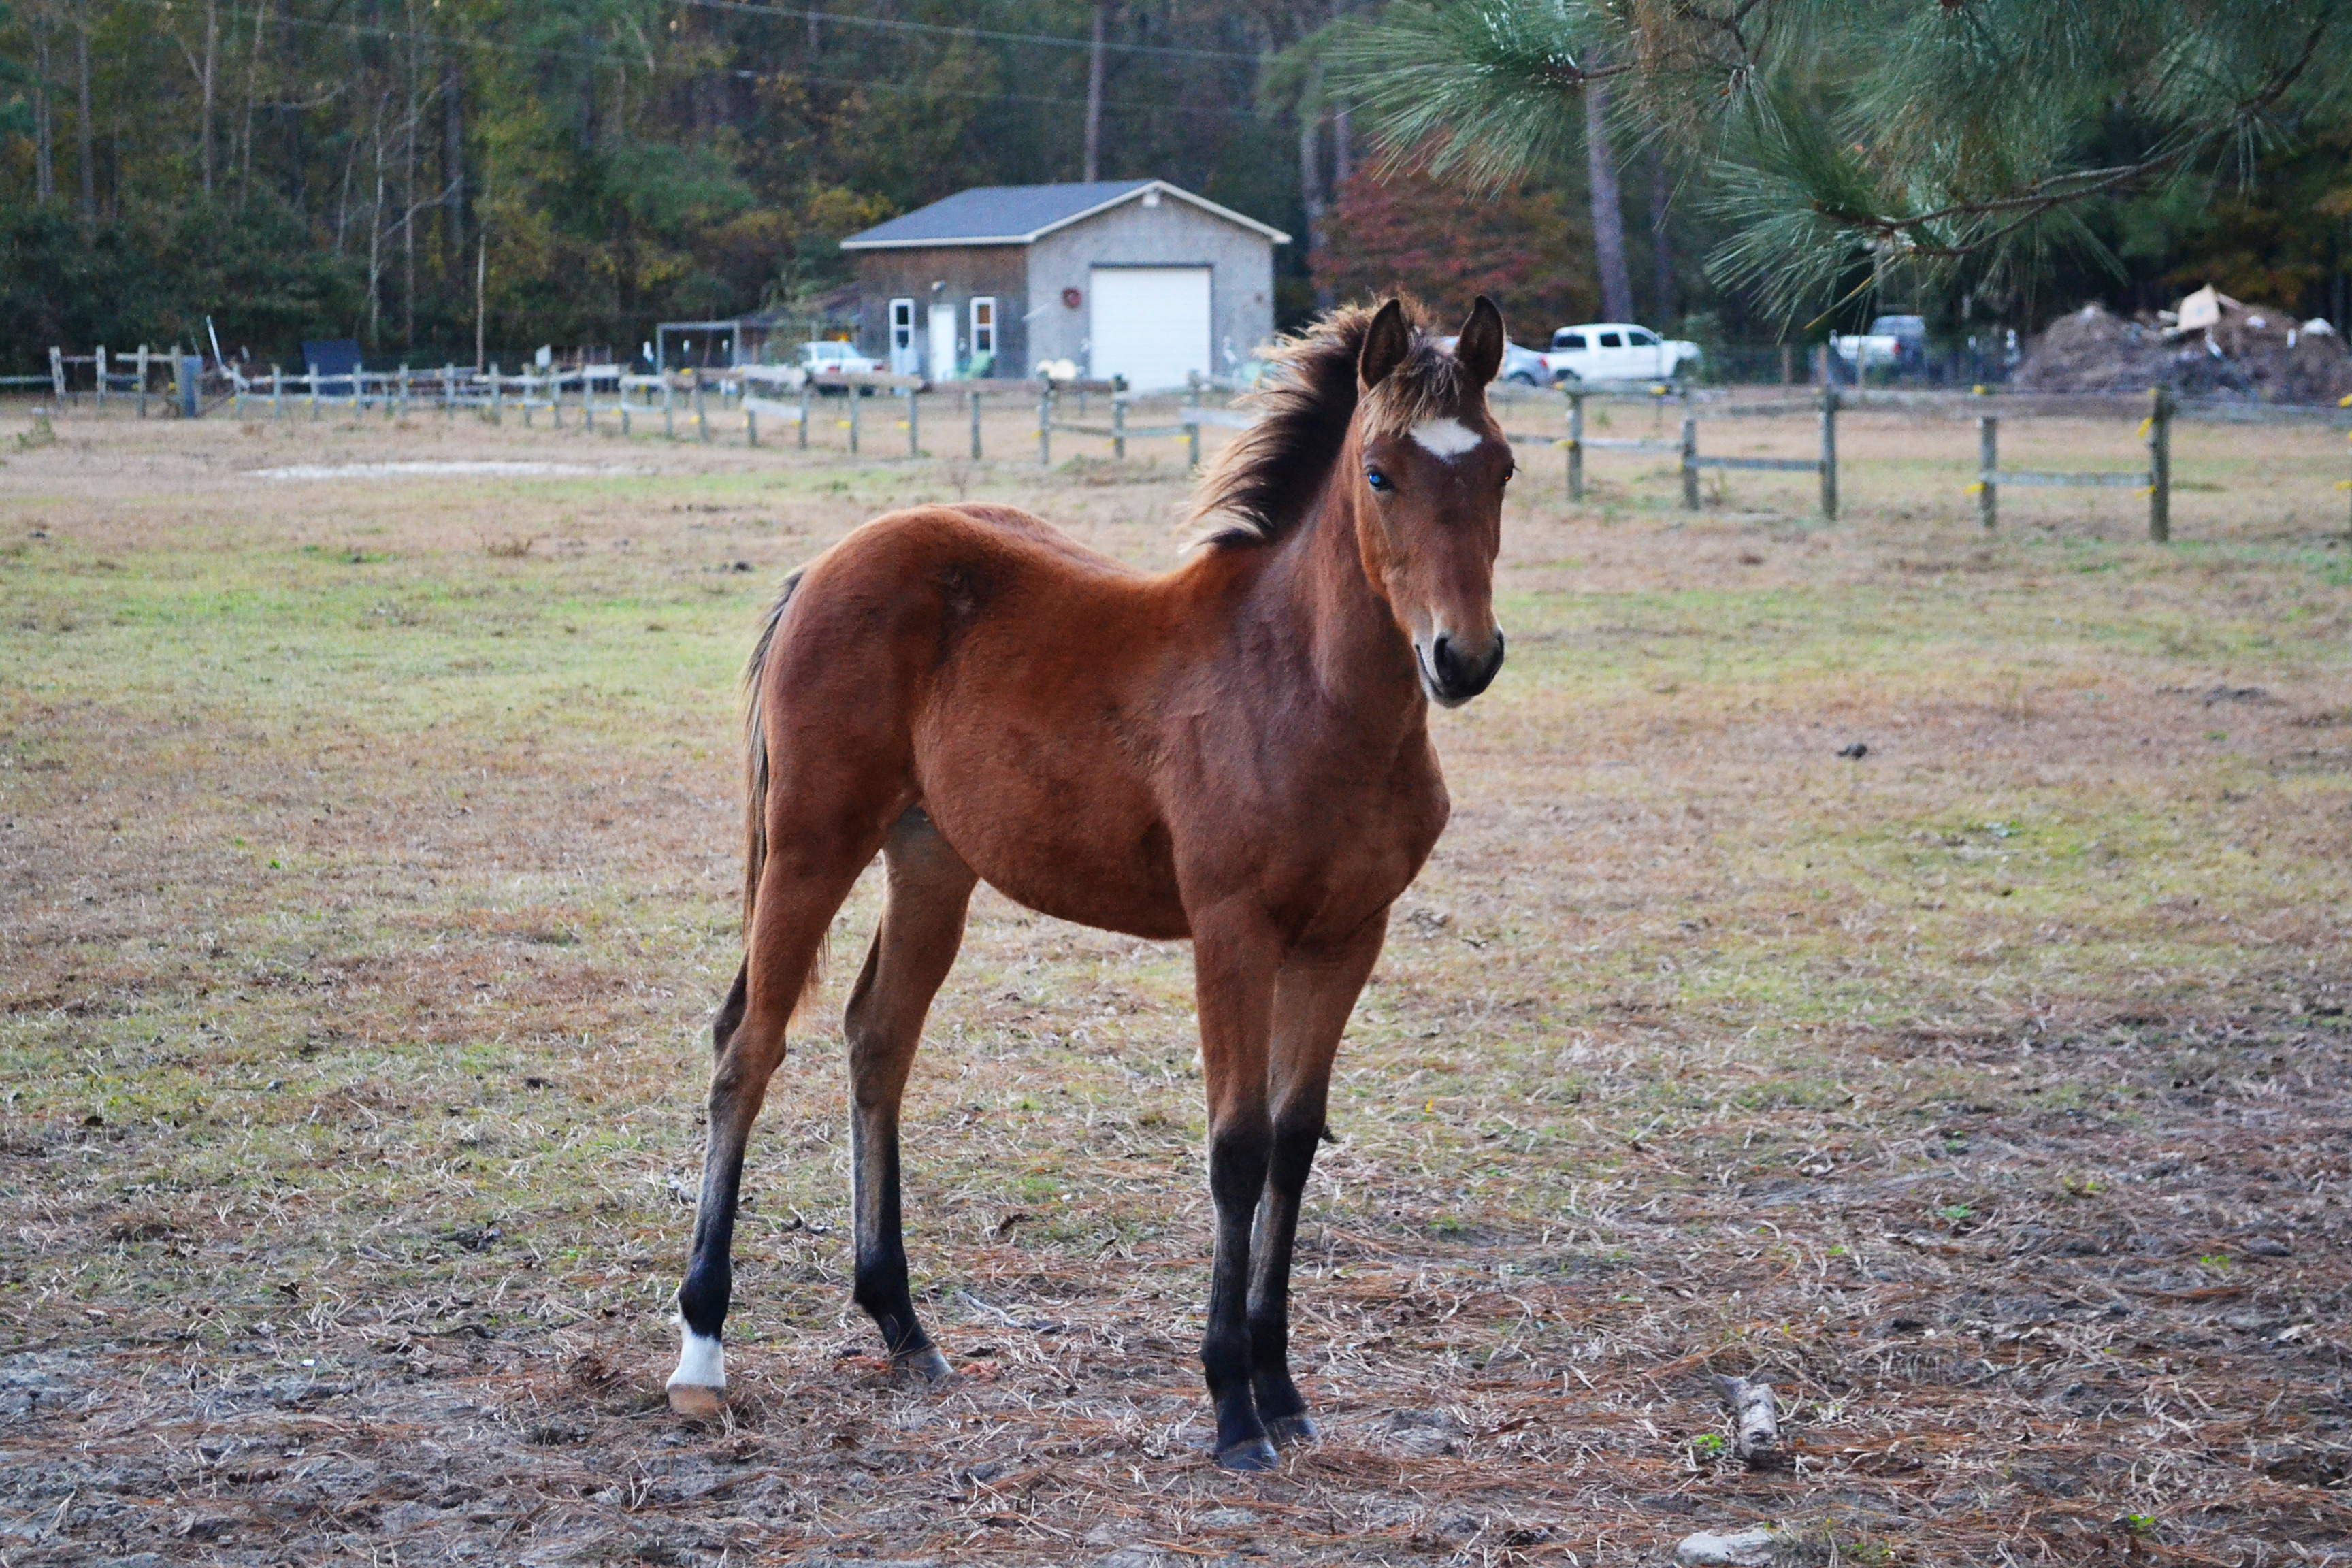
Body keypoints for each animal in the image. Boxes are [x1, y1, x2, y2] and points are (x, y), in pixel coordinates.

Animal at [672, 293, 1514, 1476]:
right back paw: (702, 1351)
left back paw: (903, 1325)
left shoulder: (1349, 936)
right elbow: (1238, 1150)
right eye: (1383, 472)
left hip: (932, 862)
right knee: (749, 1048)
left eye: (1502, 469)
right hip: (810, 844)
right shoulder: (1232, 932)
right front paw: (1231, 1407)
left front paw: (1283, 1388)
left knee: (877, 1039)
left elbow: (1297, 1147)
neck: (1300, 687)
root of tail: (828, 565)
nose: (1462, 658)